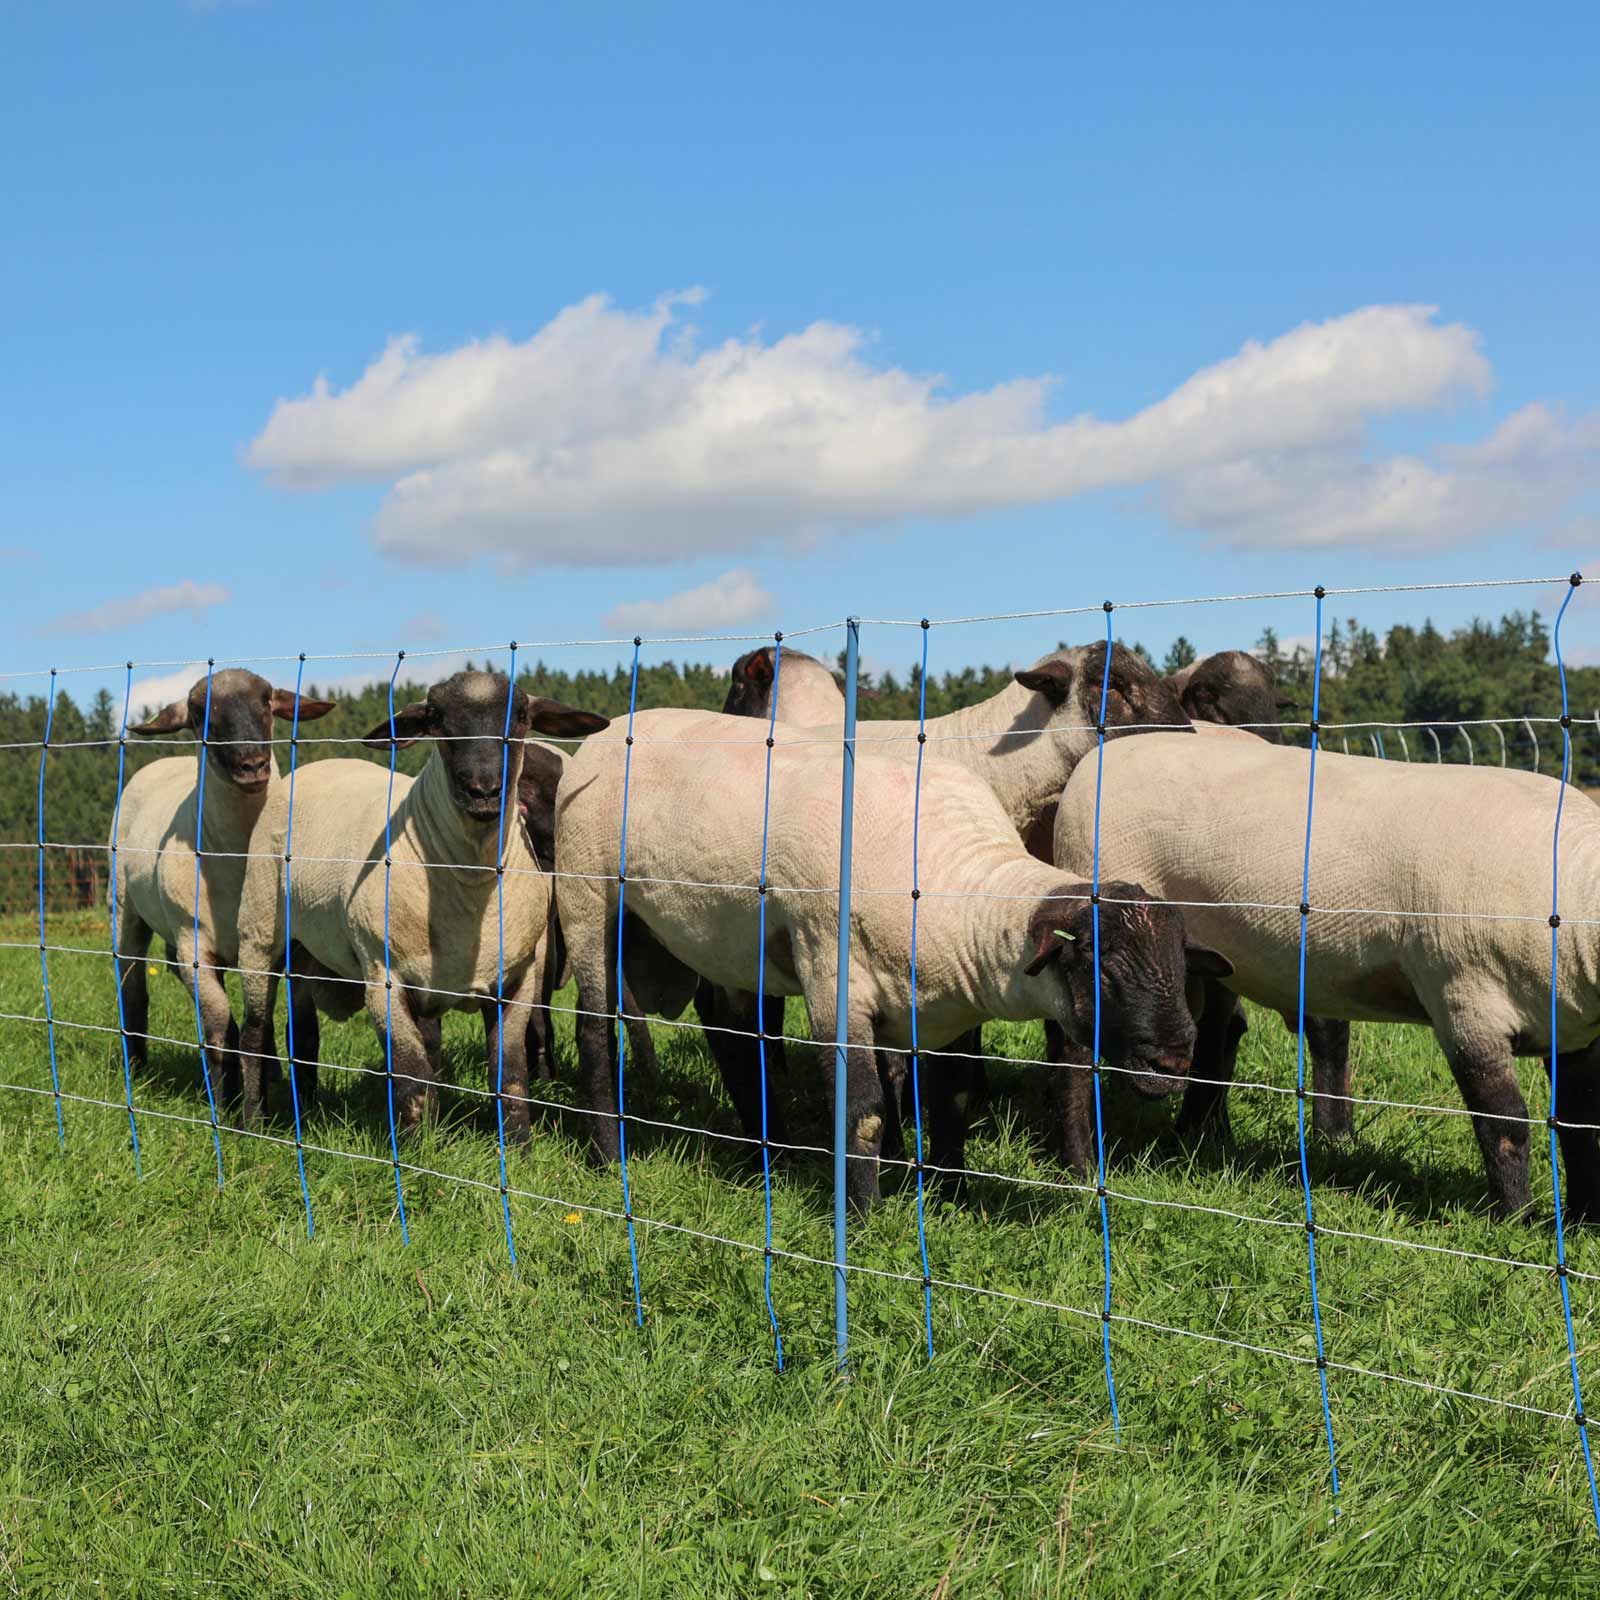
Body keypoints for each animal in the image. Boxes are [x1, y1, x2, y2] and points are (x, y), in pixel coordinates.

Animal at [108, 669, 334, 1107]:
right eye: (199, 713)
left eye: (267, 701)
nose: (252, 765)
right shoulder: (194, 946)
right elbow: (216, 1032)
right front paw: (226, 1104)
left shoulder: (293, 949)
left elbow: (303, 1034)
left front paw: (308, 1101)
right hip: (125, 908)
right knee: (133, 989)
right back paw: (138, 1069)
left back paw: (270, 1072)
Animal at [236, 671, 607, 1134]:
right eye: (435, 717)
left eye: (521, 715)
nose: (484, 790)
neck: (469, 882)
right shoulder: (384, 979)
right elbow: (412, 1076)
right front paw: (418, 1145)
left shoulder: (517, 984)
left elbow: (510, 1076)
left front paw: (518, 1143)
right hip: (258, 931)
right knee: (254, 1030)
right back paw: (253, 1122)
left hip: (308, 948)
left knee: (301, 1032)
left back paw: (306, 1109)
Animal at [554, 705, 1229, 1206]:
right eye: (1103, 968)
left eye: (1181, 969)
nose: (1174, 1062)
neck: (955, 885)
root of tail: (610, 730)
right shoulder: (833, 978)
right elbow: (864, 1111)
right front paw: (864, 1216)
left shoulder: (948, 1004)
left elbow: (953, 1097)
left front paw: (952, 1196)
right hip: (587, 898)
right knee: (596, 1032)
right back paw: (609, 1154)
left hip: (715, 939)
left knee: (732, 1032)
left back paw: (766, 1152)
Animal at [1053, 732, 1600, 1219]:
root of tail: (1100, 755)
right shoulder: (1466, 1002)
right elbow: (1504, 1124)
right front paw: (1517, 1222)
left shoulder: (1574, 1031)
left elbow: (1581, 1122)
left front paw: (1582, 1220)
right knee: (1076, 1050)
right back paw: (1084, 1162)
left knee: (1210, 1033)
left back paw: (1198, 1137)